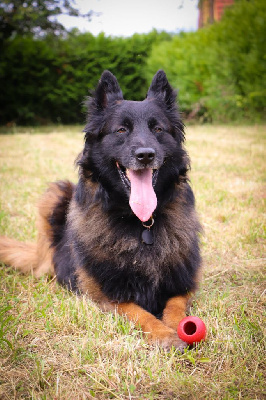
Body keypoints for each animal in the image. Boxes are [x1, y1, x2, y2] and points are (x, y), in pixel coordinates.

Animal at [0, 71, 200, 350]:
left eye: (158, 129)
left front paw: (178, 327)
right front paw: (165, 334)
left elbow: (176, 307)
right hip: (55, 194)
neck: (141, 224)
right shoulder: (105, 296)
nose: (146, 155)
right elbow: (140, 314)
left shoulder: (184, 282)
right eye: (121, 130)